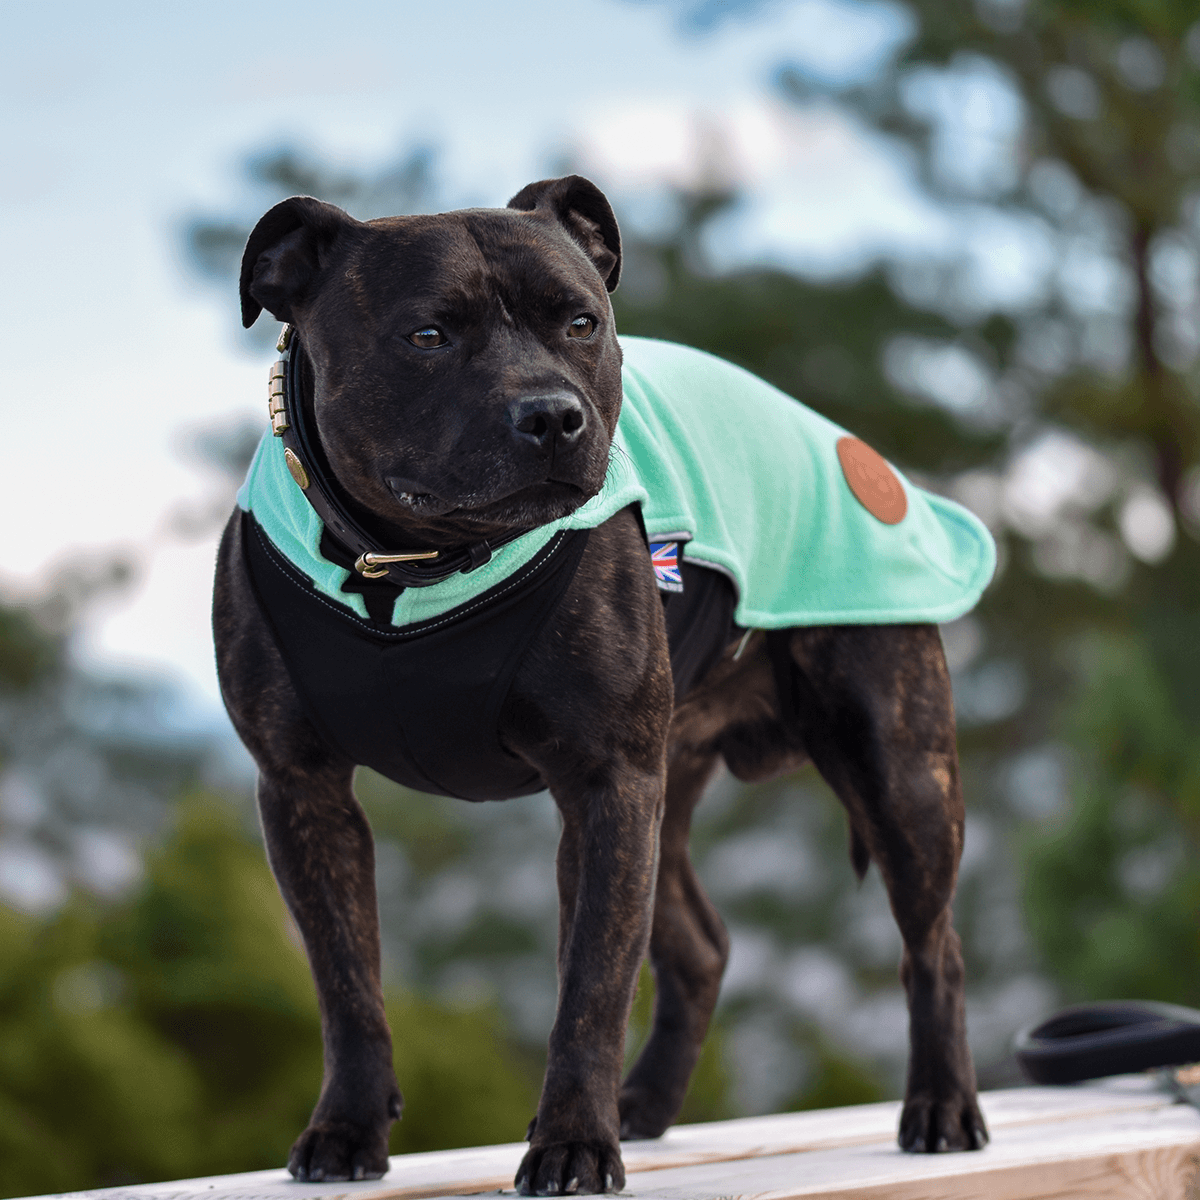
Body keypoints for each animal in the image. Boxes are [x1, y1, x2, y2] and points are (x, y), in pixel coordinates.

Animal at [218, 175, 993, 1190]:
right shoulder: (303, 791)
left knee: (934, 945)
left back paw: (941, 1106)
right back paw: (647, 1105)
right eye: (426, 334)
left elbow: (590, 985)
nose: (552, 415)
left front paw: (574, 1141)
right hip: (669, 791)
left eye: (582, 323)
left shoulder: (603, 786)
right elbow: (346, 983)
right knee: (701, 949)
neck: (408, 566)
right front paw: (347, 1129)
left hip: (897, 773)